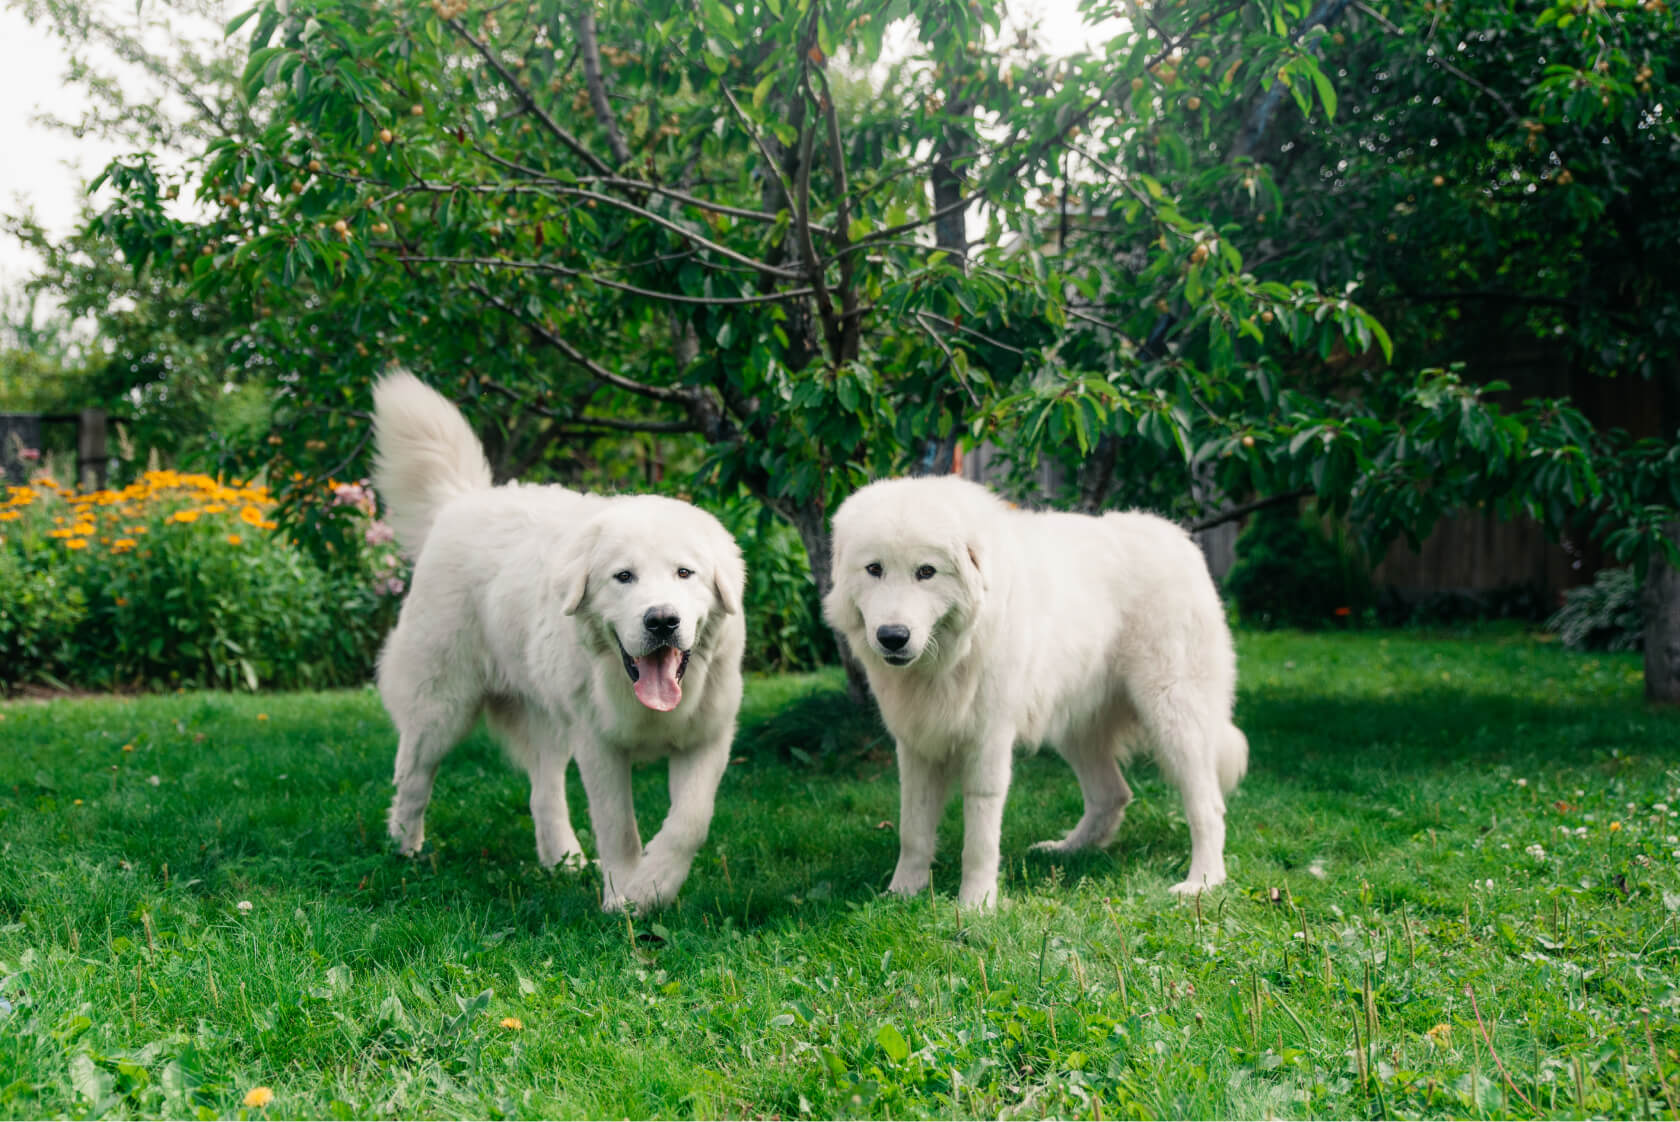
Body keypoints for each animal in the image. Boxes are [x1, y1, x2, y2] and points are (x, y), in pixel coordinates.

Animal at [371, 372, 745, 913]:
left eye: (684, 573)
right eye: (624, 576)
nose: (661, 621)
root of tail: (461, 502)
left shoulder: (706, 738)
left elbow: (688, 825)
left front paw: (653, 887)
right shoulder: (600, 745)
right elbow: (618, 828)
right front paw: (623, 898)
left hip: (549, 721)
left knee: (543, 793)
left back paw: (562, 862)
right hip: (442, 706)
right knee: (412, 777)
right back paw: (406, 852)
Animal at [826, 477, 1249, 907]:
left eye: (926, 572)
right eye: (874, 569)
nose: (892, 637)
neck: (949, 656)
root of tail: (1179, 539)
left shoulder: (987, 742)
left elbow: (979, 840)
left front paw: (976, 904)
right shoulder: (917, 745)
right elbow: (912, 829)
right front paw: (901, 894)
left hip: (1174, 717)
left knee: (1208, 807)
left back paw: (1202, 881)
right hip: (1076, 726)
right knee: (1113, 794)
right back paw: (1068, 850)